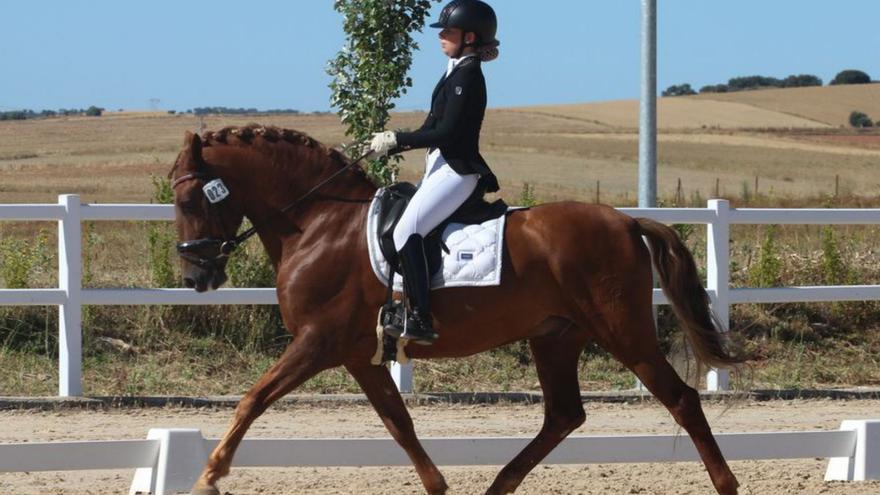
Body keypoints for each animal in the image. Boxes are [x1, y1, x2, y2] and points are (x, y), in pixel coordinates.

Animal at [170, 127, 744, 495]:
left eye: (190, 199)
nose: (197, 277)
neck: (318, 223)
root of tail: (626, 221)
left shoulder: (316, 342)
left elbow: (252, 400)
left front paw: (207, 478)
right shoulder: (359, 356)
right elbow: (399, 424)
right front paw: (439, 486)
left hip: (623, 331)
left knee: (681, 400)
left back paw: (726, 484)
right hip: (556, 336)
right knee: (564, 415)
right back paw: (497, 487)